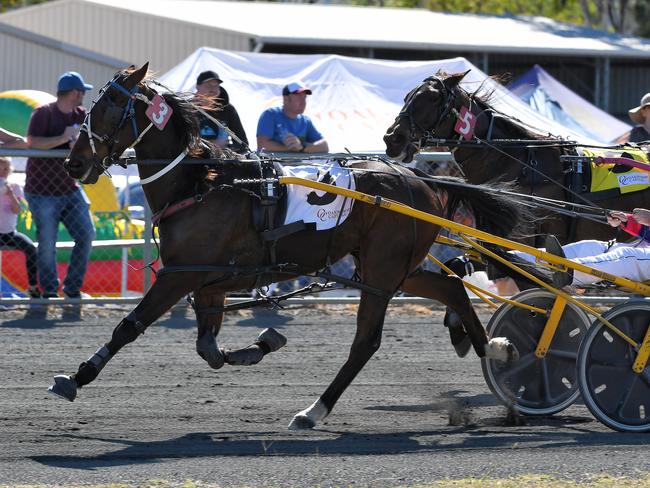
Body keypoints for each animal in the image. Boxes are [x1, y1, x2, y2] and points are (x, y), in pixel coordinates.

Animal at [54, 65, 520, 430]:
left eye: (109, 108)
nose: (73, 163)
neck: (200, 185)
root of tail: (419, 178)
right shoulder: (208, 284)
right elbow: (209, 349)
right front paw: (262, 344)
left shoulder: (178, 277)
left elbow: (129, 326)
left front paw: (76, 377)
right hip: (392, 269)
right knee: (450, 287)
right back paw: (496, 352)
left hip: (383, 271)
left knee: (366, 342)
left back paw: (315, 409)